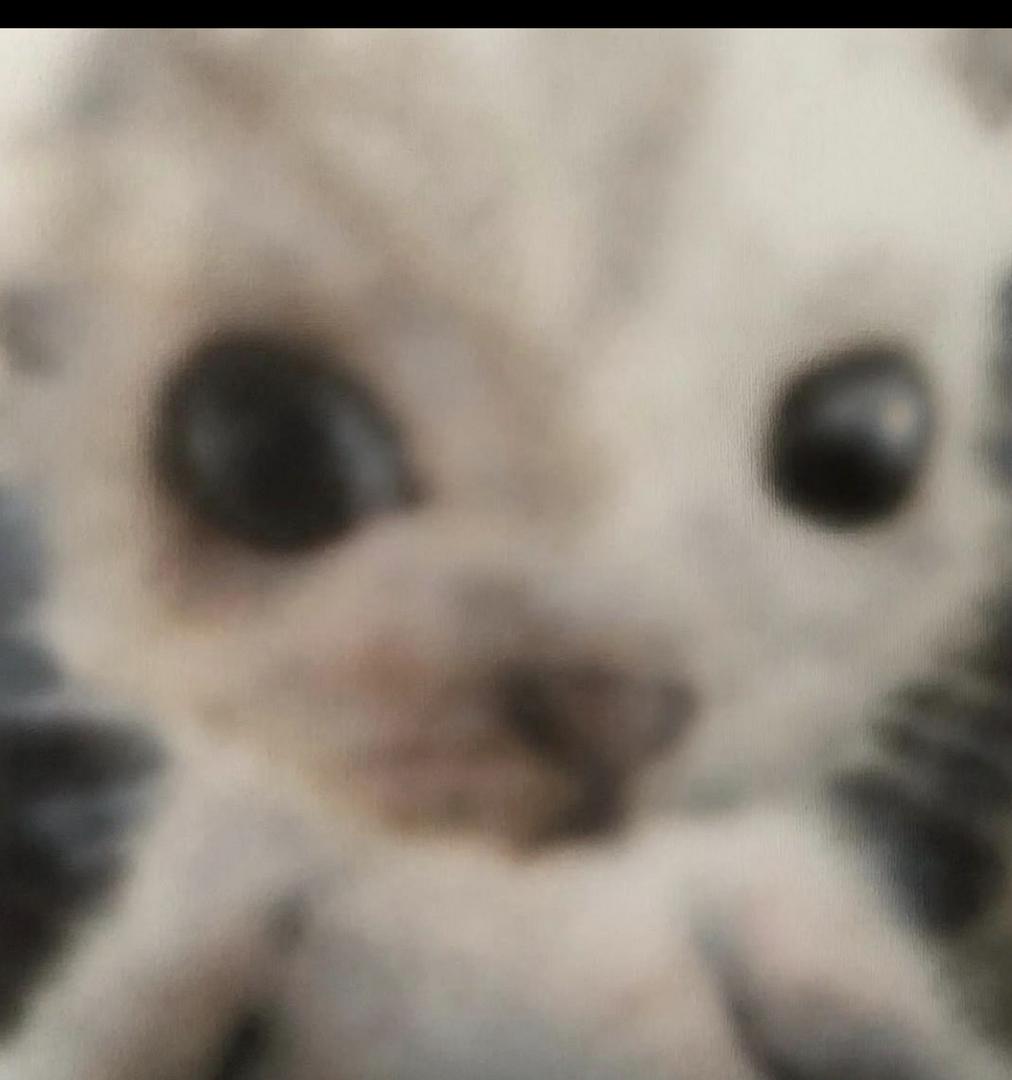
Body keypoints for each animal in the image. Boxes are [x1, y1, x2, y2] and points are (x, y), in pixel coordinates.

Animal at [1, 27, 1012, 1078]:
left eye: (863, 443)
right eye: (267, 447)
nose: (608, 706)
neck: (511, 897)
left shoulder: (770, 896)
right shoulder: (221, 899)